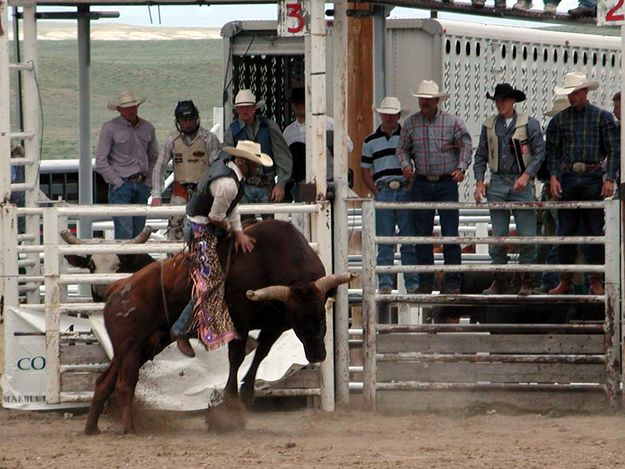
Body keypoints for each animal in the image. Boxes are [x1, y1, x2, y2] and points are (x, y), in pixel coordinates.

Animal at [85, 221, 354, 434]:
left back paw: (92, 428)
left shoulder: (274, 325)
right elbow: (236, 358)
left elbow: (261, 353)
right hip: (130, 346)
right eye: (297, 319)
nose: (317, 354)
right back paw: (128, 428)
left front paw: (247, 393)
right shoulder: (239, 322)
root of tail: (117, 287)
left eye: (322, 316)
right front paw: (230, 403)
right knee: (124, 384)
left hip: (141, 348)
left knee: (105, 382)